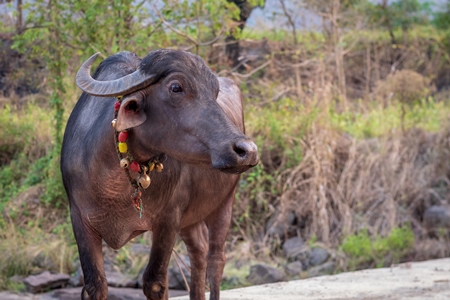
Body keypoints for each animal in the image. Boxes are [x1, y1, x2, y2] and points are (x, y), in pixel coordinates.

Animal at [60, 49, 258, 300]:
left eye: (214, 92)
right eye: (176, 87)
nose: (247, 150)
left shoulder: (168, 219)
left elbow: (155, 282)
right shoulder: (79, 218)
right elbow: (94, 285)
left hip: (224, 203)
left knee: (216, 258)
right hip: (191, 219)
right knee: (199, 251)